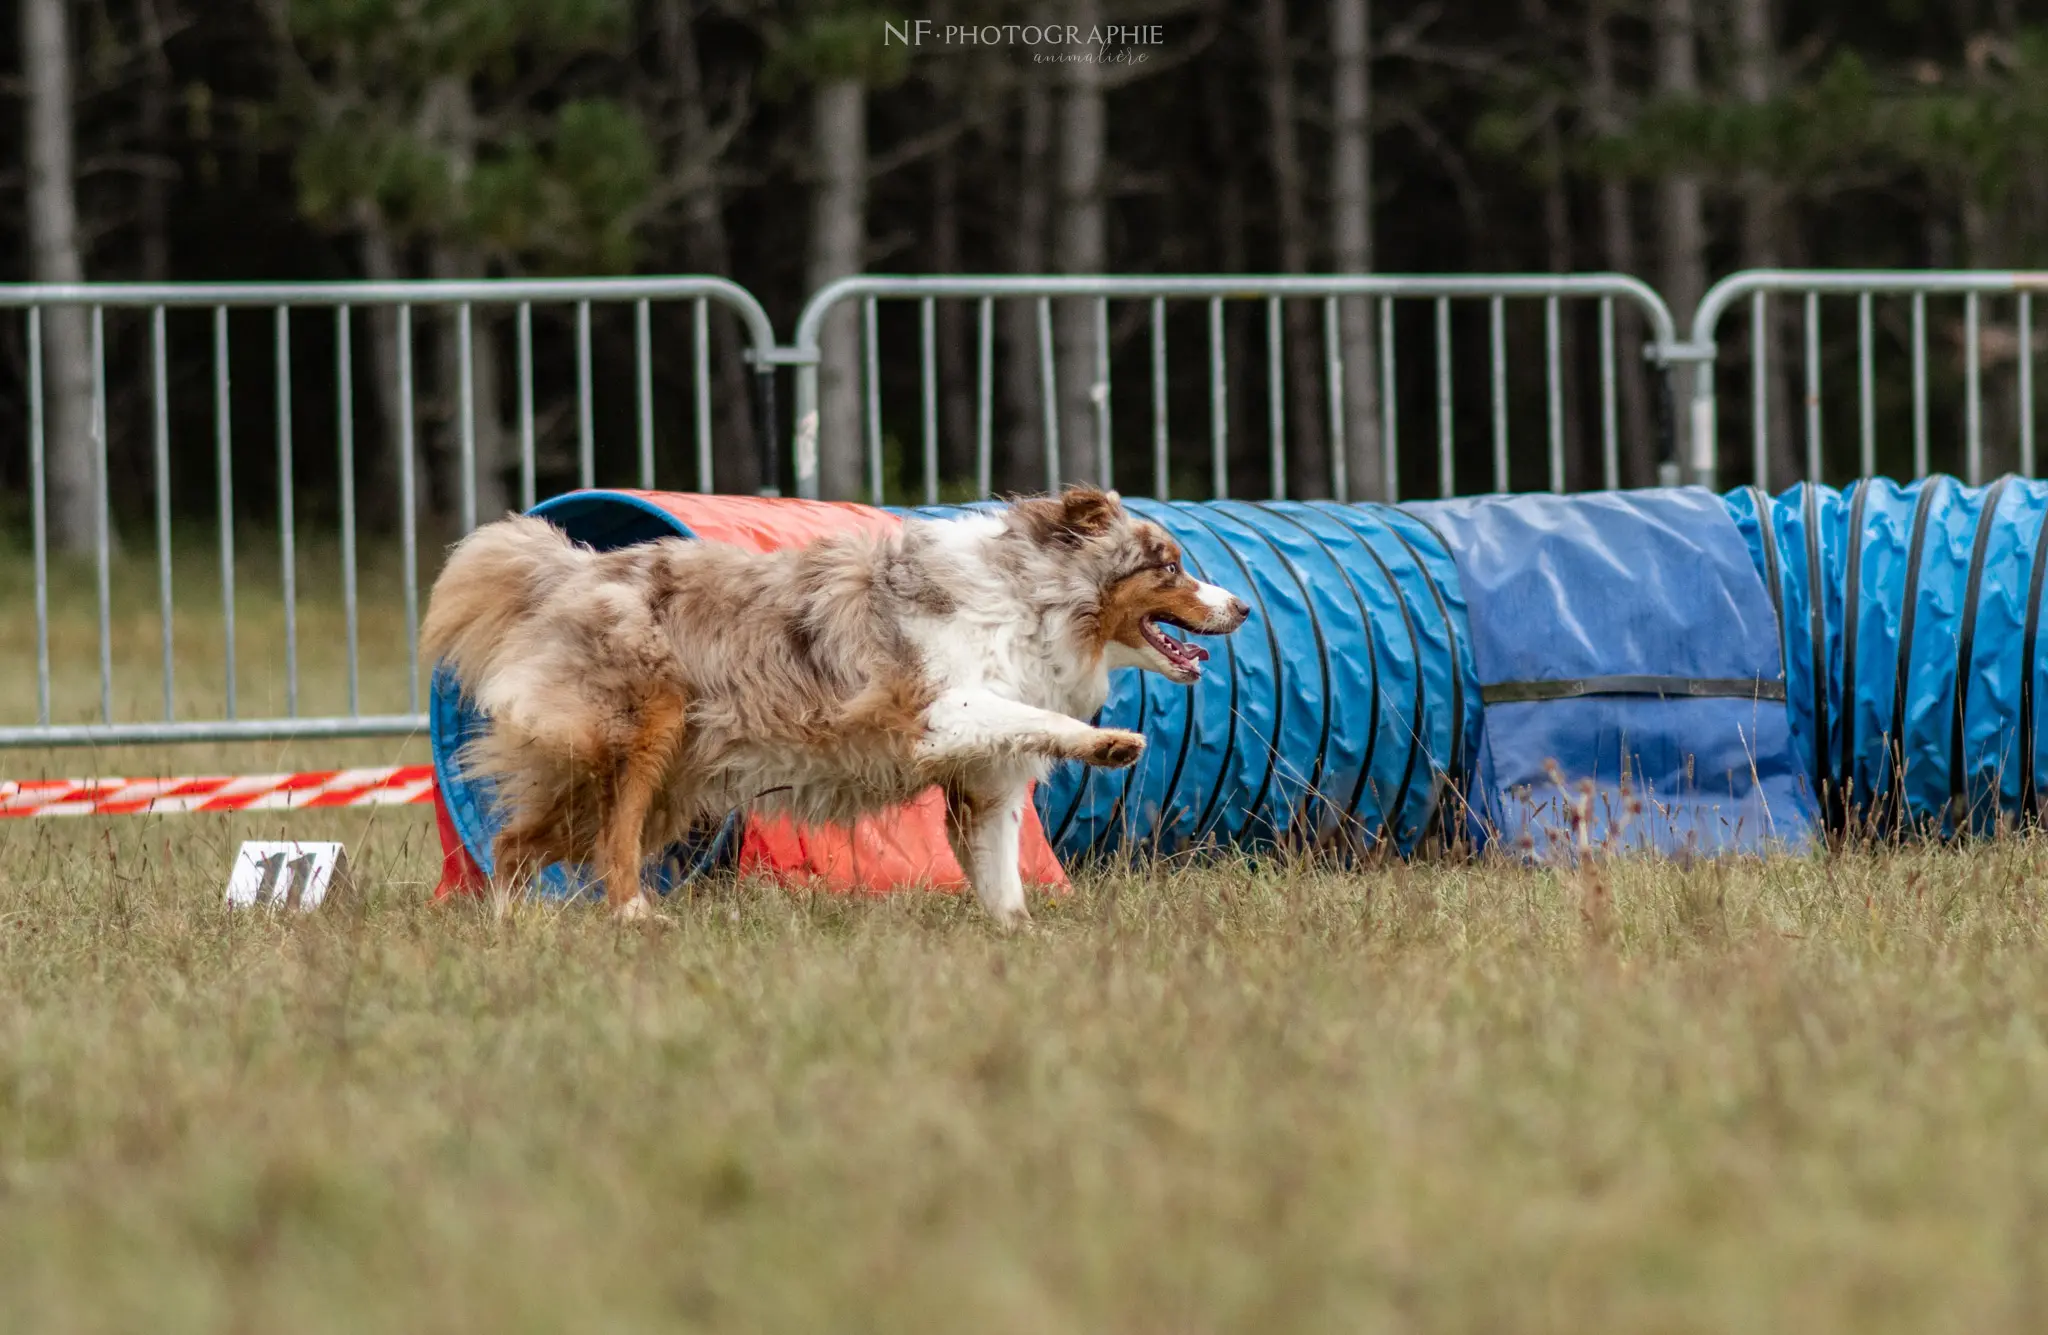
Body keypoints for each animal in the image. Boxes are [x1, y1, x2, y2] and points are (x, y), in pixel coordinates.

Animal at [419, 489, 1245, 929]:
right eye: (1168, 566)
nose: (1240, 605)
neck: (1032, 598)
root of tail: (571, 567)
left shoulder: (986, 782)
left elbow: (1002, 874)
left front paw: (1023, 939)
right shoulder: (936, 710)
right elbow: (1039, 717)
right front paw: (1109, 742)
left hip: (645, 786)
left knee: (515, 843)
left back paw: (512, 925)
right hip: (643, 738)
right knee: (609, 845)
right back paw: (633, 915)